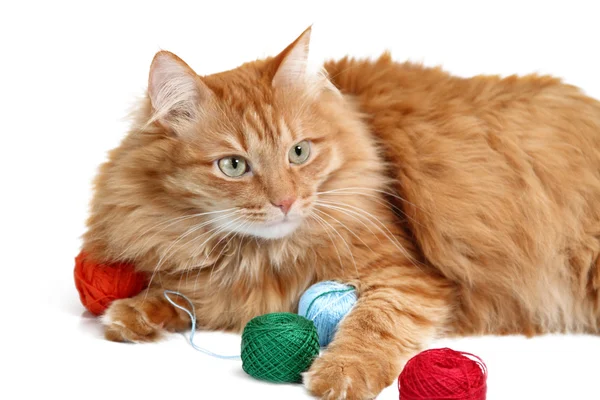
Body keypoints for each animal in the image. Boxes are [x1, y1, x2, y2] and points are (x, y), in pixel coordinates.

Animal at [83, 26, 600, 398]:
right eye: (233, 165)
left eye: (298, 152)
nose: (285, 201)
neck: (257, 258)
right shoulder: (209, 285)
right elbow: (178, 298)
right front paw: (133, 314)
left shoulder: (407, 275)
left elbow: (375, 322)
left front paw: (341, 372)